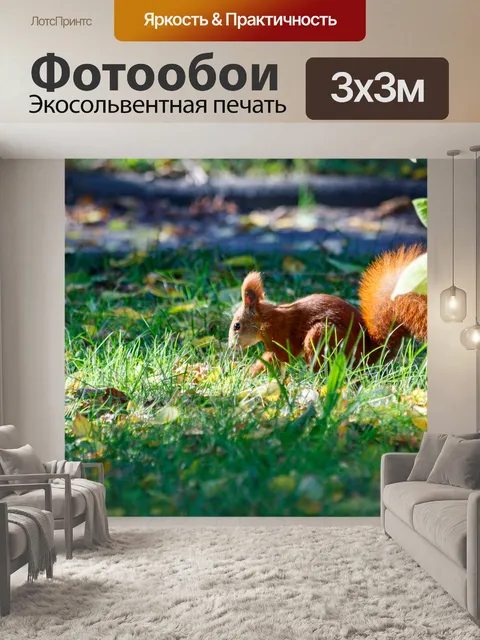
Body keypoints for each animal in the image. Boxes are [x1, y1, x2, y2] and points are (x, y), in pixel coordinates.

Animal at [228, 244, 427, 376]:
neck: (266, 318)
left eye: (237, 326)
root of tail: (367, 355)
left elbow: (280, 357)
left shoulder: (279, 334)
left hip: (321, 336)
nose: (231, 347)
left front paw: (249, 373)